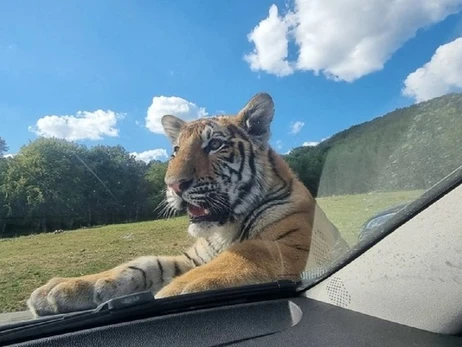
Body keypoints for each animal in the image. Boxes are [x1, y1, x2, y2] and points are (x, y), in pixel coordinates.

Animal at [26, 92, 346, 318]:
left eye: (215, 145)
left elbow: (241, 255)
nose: (173, 184)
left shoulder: (294, 245)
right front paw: (62, 289)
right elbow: (142, 265)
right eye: (176, 150)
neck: (225, 228)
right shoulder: (194, 257)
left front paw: (169, 293)